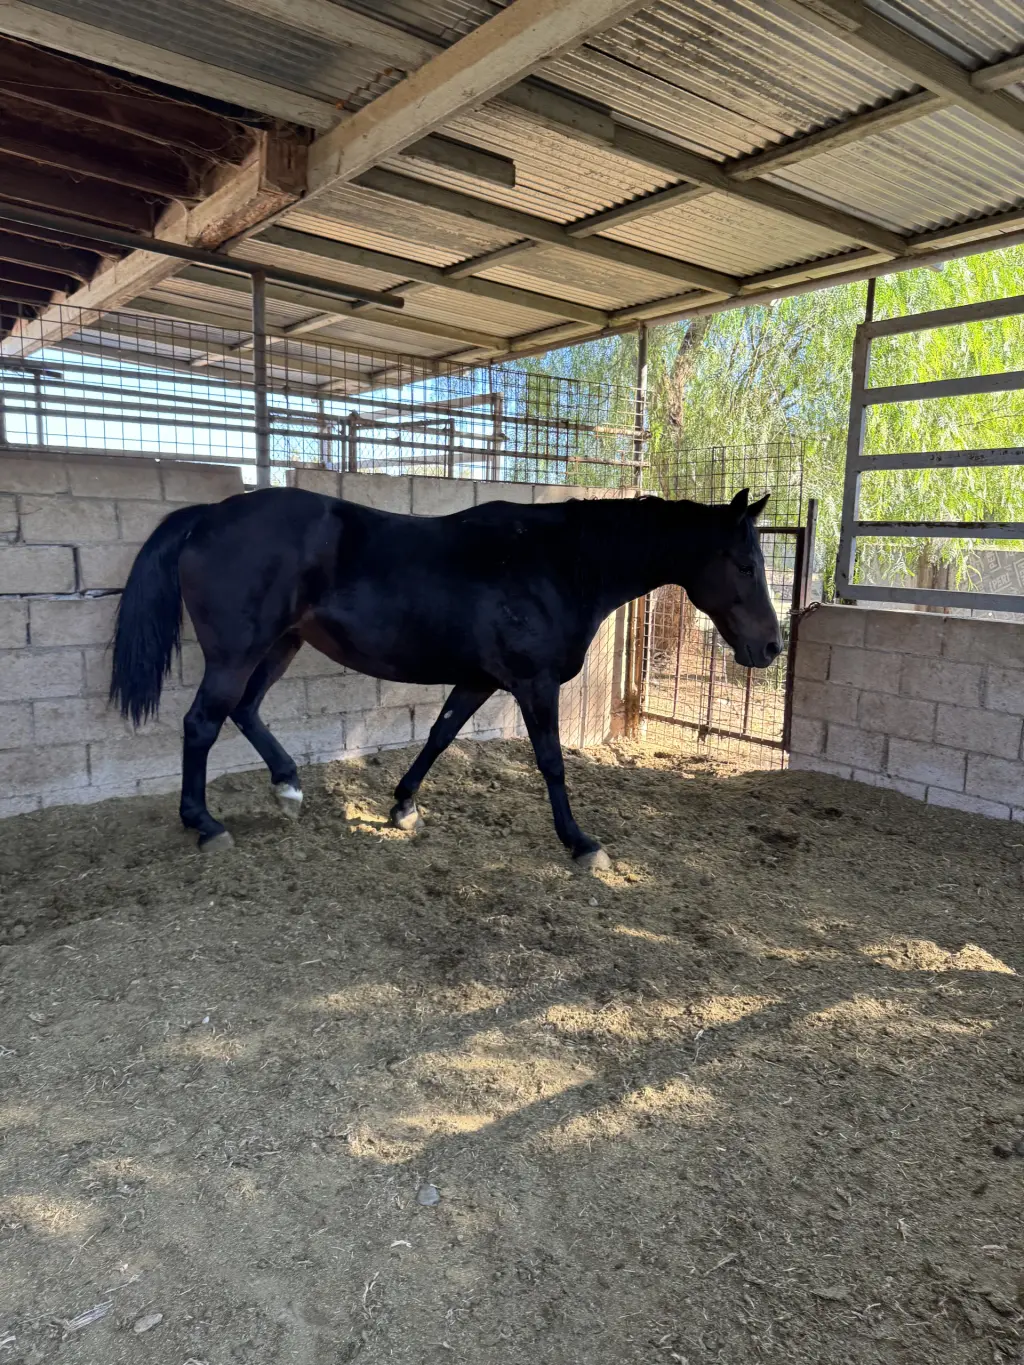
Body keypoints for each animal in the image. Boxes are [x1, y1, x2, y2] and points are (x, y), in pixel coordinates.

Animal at [109, 485, 781, 868]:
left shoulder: (480, 679)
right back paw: (204, 825)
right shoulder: (534, 683)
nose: (771, 647)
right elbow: (551, 762)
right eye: (746, 564)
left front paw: (403, 805)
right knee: (203, 722)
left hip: (282, 645)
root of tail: (207, 518)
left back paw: (288, 787)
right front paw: (579, 842)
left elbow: (440, 735)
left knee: (244, 710)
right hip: (238, 651)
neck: (561, 564)